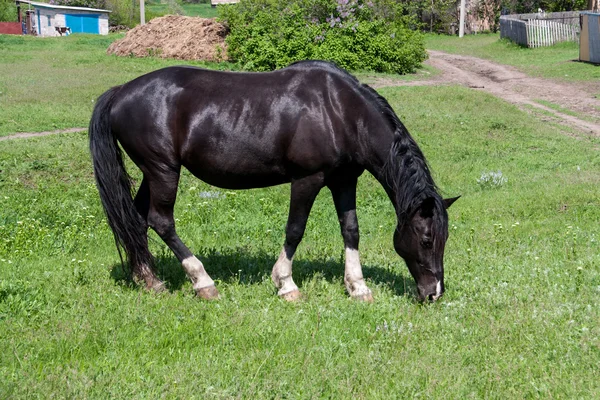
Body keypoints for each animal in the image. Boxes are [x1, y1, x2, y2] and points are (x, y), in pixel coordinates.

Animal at [88, 60, 454, 300]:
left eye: (444, 239)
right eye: (425, 239)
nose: (434, 293)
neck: (339, 111)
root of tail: (121, 92)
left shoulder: (343, 181)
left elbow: (351, 229)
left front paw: (358, 287)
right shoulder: (307, 180)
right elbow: (295, 230)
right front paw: (286, 284)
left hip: (153, 172)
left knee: (136, 219)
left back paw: (149, 280)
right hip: (163, 170)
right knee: (161, 221)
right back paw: (203, 282)